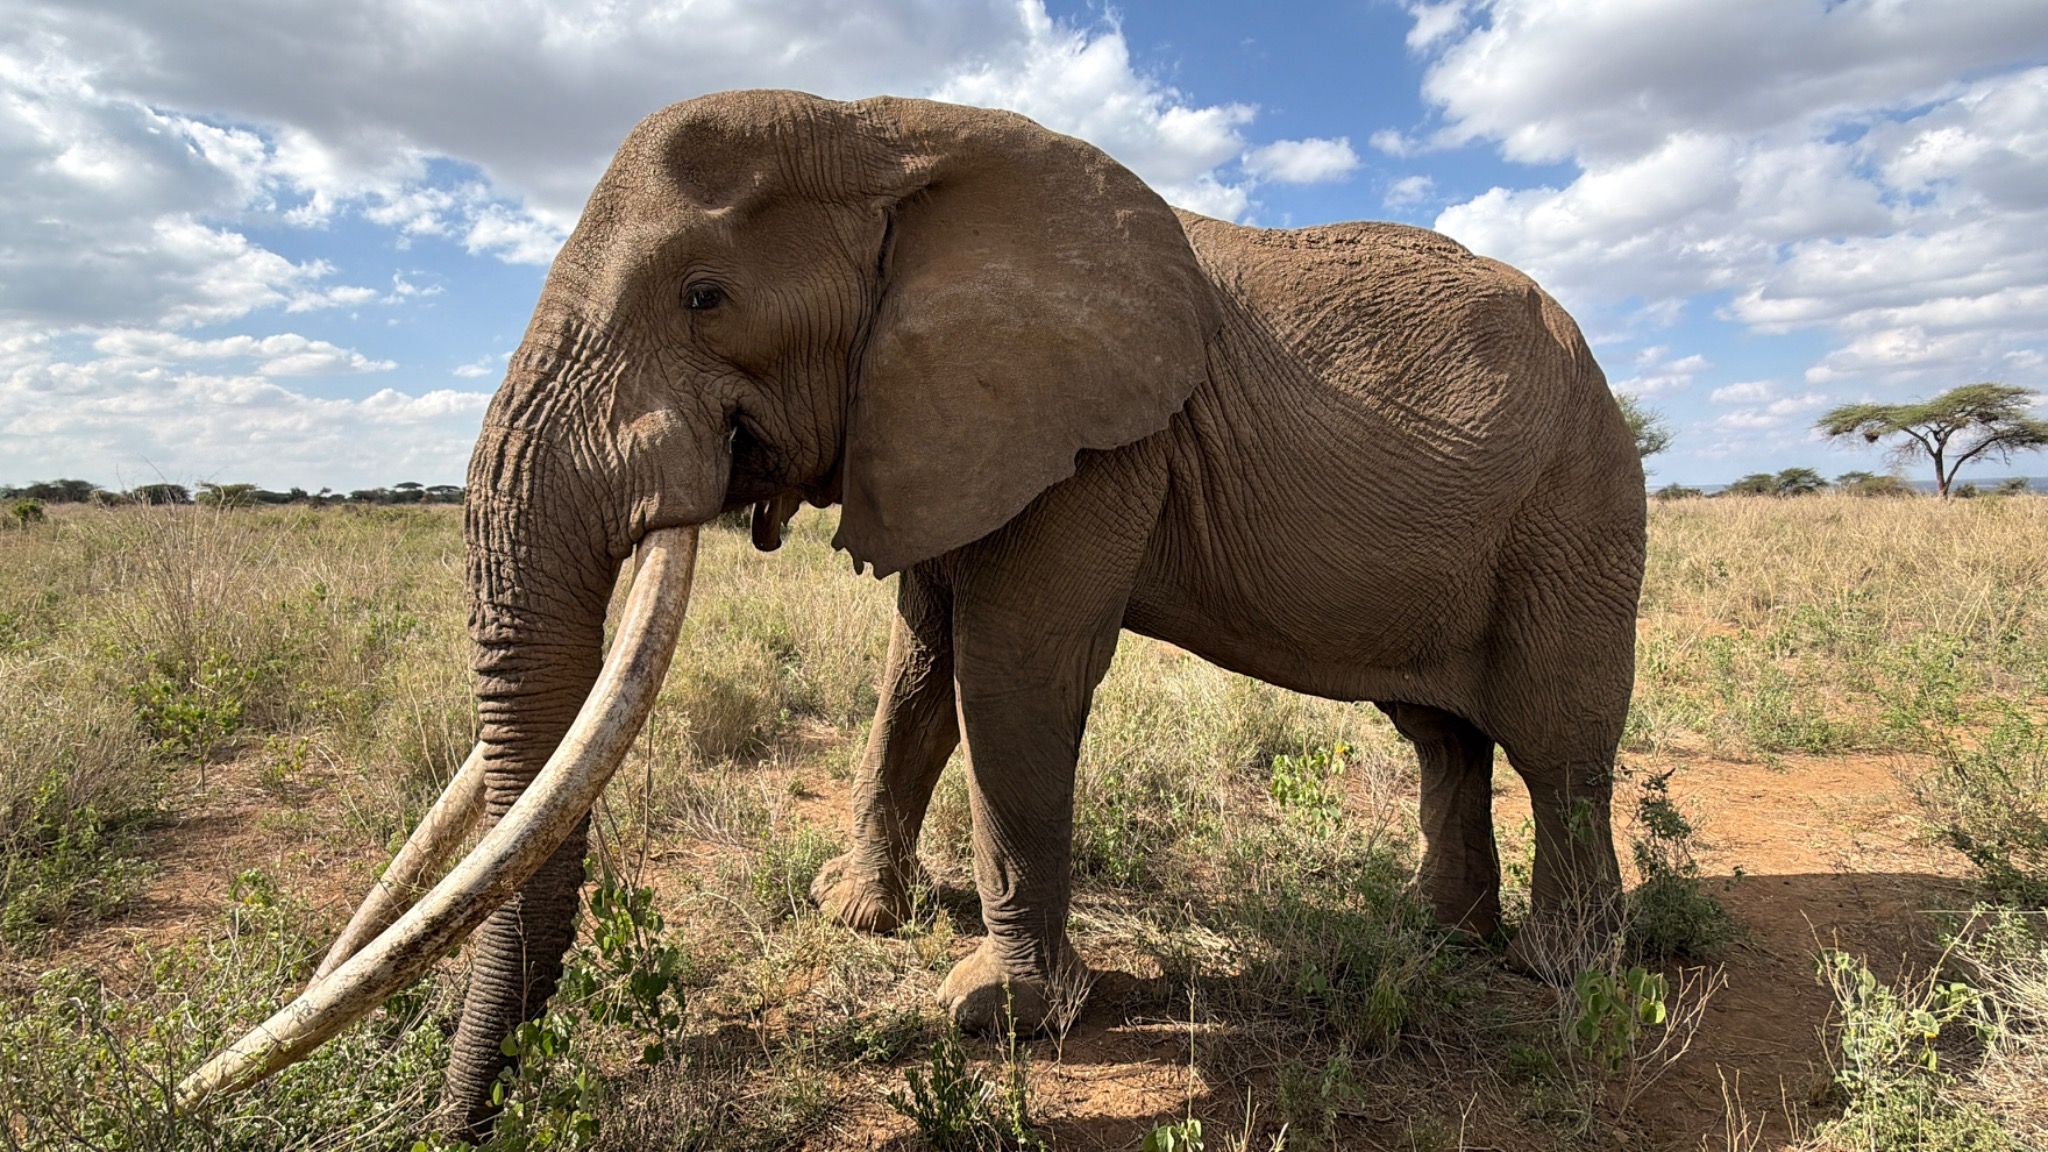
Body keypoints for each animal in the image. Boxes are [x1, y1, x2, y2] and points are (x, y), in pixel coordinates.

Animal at [180, 89, 1644, 1138]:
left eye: (705, 297)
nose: (458, 1119)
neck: (894, 132)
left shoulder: (1094, 441)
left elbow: (1014, 678)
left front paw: (994, 1014)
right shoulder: (942, 422)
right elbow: (918, 675)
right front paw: (855, 917)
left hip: (1580, 502)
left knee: (1557, 745)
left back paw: (1568, 974)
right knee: (1441, 736)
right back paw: (1439, 941)